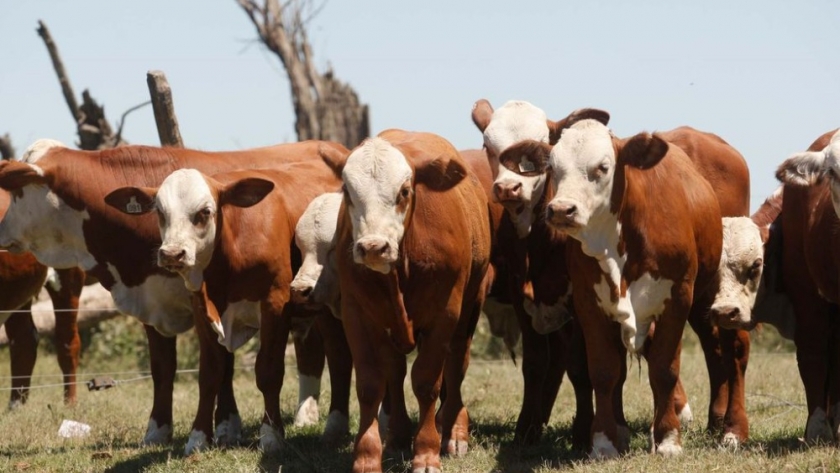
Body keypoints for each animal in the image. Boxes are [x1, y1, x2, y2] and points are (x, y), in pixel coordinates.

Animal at [0, 138, 348, 448]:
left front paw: (228, 428)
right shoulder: (158, 304)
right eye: (158, 213)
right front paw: (163, 430)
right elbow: (169, 369)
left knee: (332, 351)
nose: (2, 230)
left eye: (16, 192)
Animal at [322, 130, 492, 472]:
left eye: (403, 191)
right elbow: (371, 384)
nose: (373, 247)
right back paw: (399, 435)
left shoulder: (444, 314)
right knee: (395, 370)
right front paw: (367, 457)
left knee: (456, 365)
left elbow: (426, 381)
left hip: (470, 308)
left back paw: (453, 431)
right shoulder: (357, 313)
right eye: (347, 190)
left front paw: (426, 453)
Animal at [502, 121, 724, 458]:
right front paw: (605, 440)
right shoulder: (589, 304)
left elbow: (664, 370)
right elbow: (605, 371)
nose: (561, 210)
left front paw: (668, 438)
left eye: (603, 167)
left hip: (703, 300)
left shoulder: (677, 300)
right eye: (552, 167)